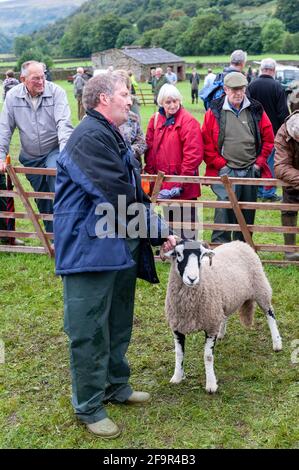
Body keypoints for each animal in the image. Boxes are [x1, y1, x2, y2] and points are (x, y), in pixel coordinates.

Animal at [164, 239, 284, 392]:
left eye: (201, 256)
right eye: (178, 254)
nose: (192, 279)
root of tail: (240, 242)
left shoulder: (211, 325)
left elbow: (208, 356)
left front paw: (211, 384)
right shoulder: (177, 325)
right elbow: (179, 354)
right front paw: (177, 377)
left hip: (261, 288)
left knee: (270, 314)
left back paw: (277, 342)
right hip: (225, 300)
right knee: (225, 315)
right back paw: (221, 334)